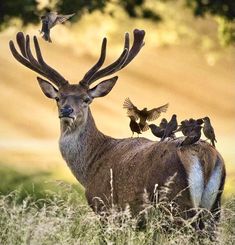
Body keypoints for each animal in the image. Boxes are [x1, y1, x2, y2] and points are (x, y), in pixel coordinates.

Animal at [9, 30, 226, 228]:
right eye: (58, 97)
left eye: (86, 99)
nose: (66, 110)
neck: (89, 168)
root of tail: (206, 158)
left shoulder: (105, 207)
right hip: (214, 208)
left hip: (175, 205)